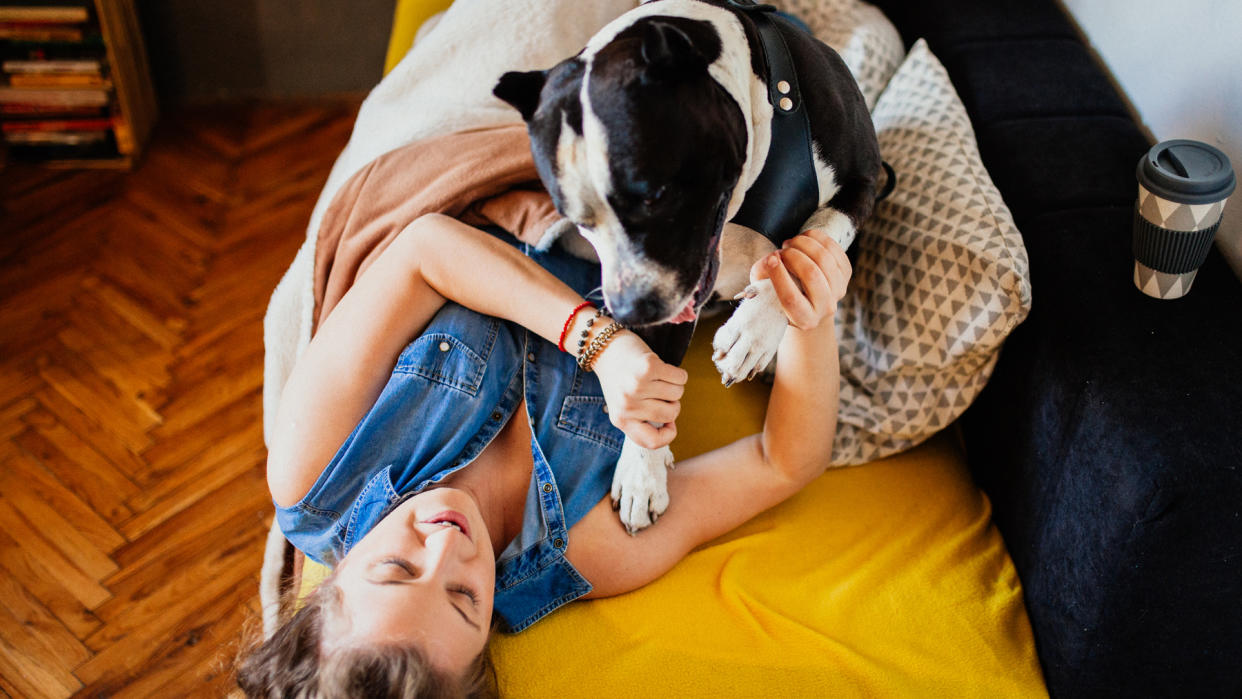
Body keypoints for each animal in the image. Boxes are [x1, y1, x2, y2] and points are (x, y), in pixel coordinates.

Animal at [491, 0, 884, 533]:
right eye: (577, 218)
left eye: (653, 194)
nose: (630, 311)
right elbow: (655, 378)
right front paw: (641, 473)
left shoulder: (865, 182)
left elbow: (812, 241)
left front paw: (753, 331)